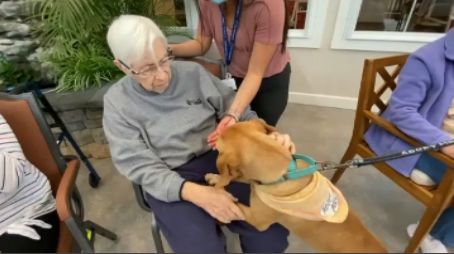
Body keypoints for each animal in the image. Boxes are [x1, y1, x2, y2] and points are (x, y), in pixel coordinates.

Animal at [206, 120, 386, 253]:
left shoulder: (257, 219)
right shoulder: (252, 180)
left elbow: (235, 203)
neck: (286, 171)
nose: (217, 129)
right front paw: (215, 178)